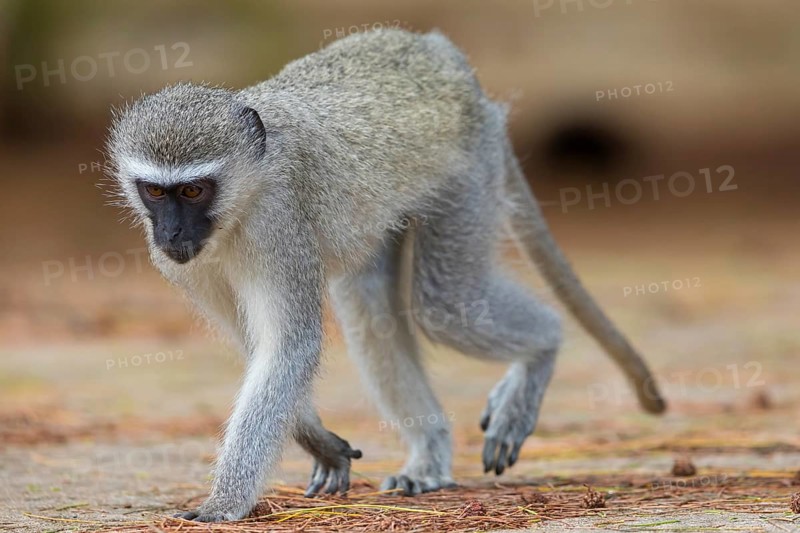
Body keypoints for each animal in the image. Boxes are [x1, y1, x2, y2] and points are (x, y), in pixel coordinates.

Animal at [105, 28, 665, 522]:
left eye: (193, 190)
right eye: (155, 192)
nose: (172, 233)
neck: (243, 199)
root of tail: (444, 55)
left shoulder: (279, 227)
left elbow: (289, 347)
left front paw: (224, 503)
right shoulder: (183, 263)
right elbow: (260, 347)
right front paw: (321, 443)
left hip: (467, 172)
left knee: (446, 305)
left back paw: (542, 347)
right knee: (370, 307)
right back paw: (430, 456)